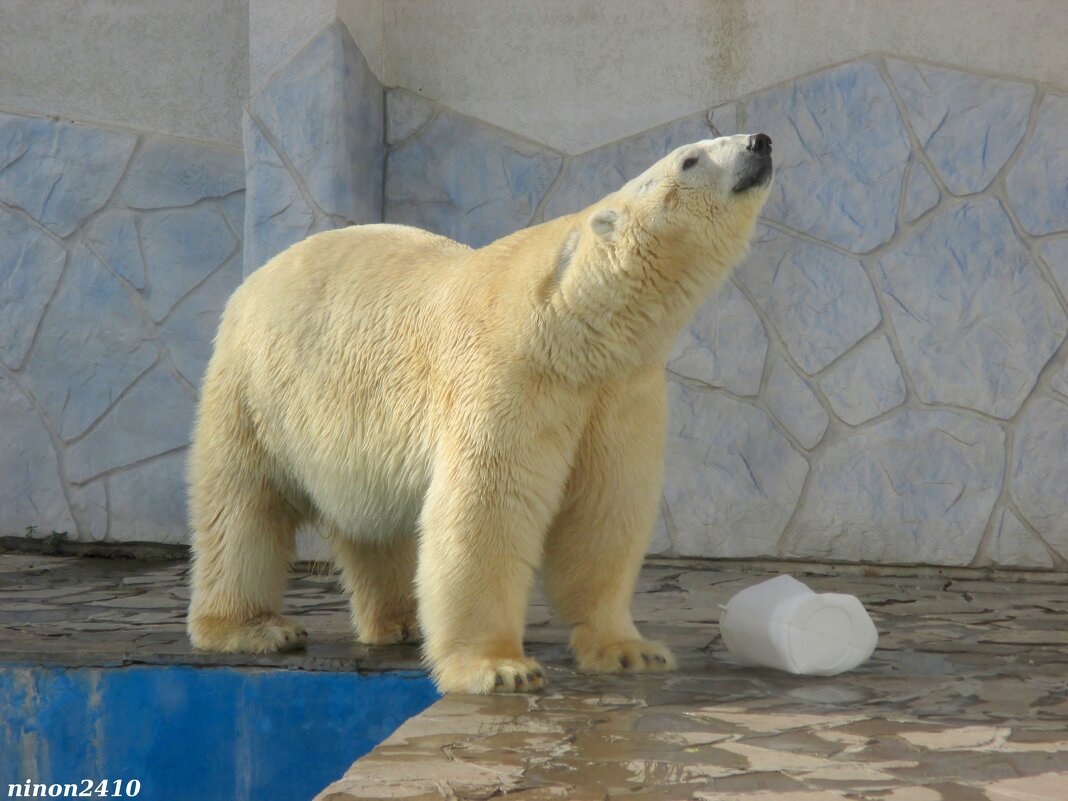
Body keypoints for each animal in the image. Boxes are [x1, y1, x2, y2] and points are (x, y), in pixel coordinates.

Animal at [190, 133, 777, 696]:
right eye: (691, 159)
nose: (761, 143)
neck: (569, 324)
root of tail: (254, 279)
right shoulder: (510, 374)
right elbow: (489, 506)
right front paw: (499, 668)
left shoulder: (618, 392)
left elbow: (604, 509)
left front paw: (631, 651)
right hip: (257, 390)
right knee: (241, 505)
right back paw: (254, 628)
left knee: (375, 524)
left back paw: (400, 621)